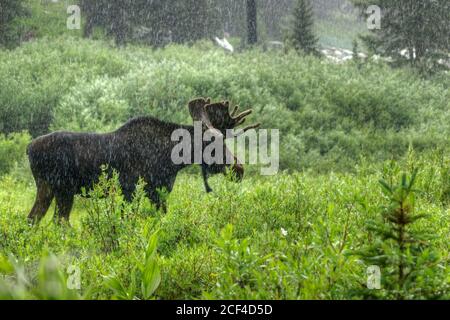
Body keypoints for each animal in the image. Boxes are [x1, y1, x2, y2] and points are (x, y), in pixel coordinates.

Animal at [27, 99, 260, 224]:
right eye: (211, 141)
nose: (239, 168)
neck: (171, 161)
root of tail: (28, 149)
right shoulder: (132, 190)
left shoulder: (158, 192)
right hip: (63, 189)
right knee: (59, 221)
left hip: (48, 188)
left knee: (34, 219)